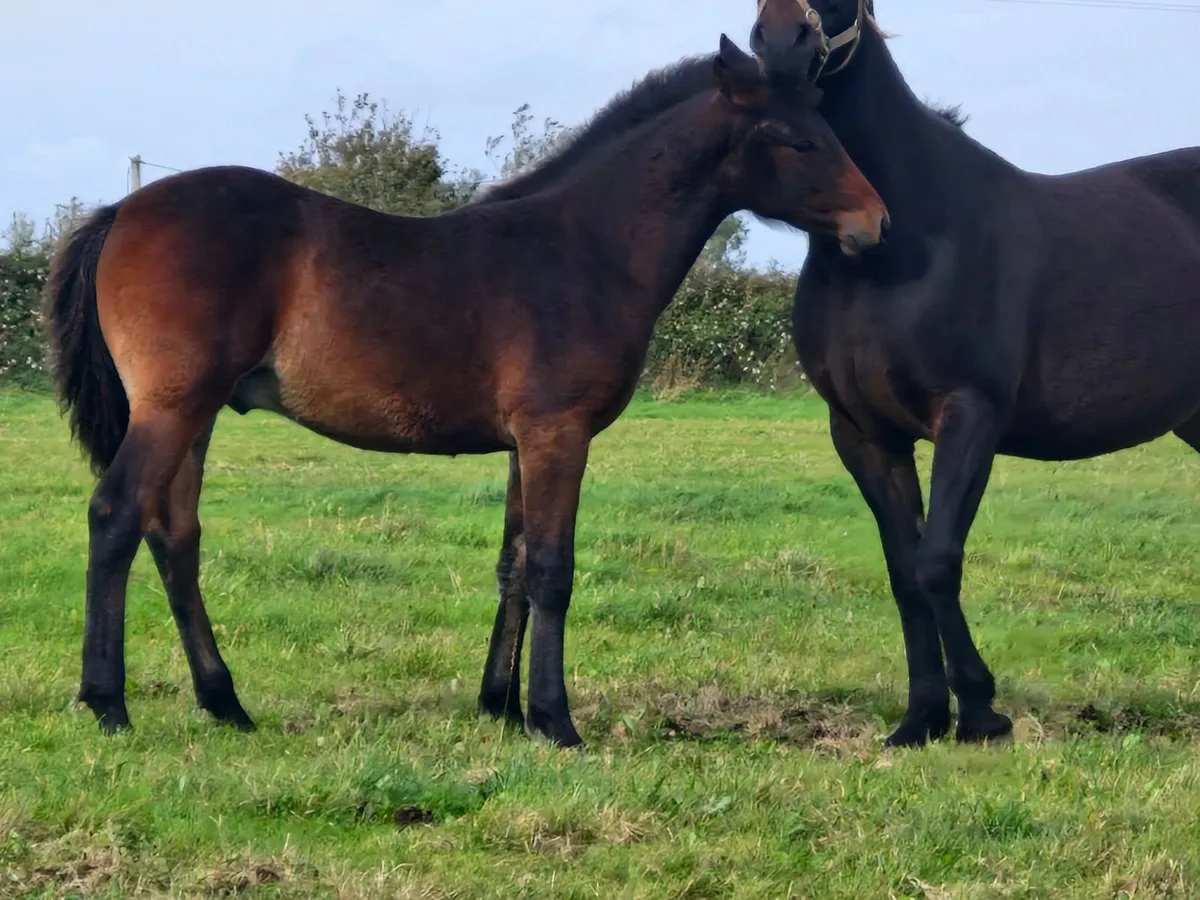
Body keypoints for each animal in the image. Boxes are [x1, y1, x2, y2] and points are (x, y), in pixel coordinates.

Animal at [44, 35, 887, 748]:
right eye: (798, 138)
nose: (875, 224)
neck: (585, 250)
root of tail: (122, 211)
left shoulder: (525, 441)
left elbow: (513, 564)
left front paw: (501, 707)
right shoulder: (557, 432)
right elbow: (552, 567)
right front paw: (555, 721)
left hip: (198, 414)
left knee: (174, 535)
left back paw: (226, 704)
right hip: (174, 405)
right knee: (116, 516)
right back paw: (108, 703)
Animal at [750, 0, 1200, 748]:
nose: (783, 44)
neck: (900, 242)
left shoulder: (968, 414)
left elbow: (937, 560)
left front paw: (983, 712)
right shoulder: (864, 434)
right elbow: (904, 571)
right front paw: (922, 718)